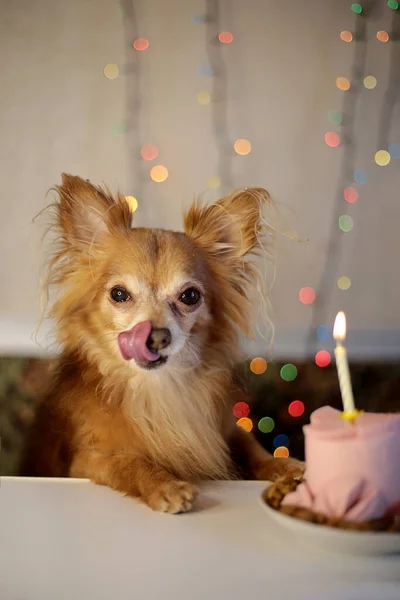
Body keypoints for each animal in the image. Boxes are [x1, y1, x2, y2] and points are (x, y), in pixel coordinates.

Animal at [20, 176, 304, 512]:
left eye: (190, 296)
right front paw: (166, 485)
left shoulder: (224, 430)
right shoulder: (86, 460)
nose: (156, 335)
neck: (157, 388)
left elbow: (251, 445)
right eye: (119, 294)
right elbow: (129, 463)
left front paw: (285, 465)